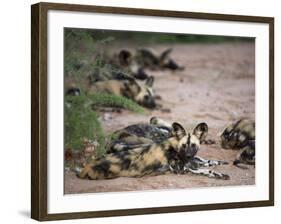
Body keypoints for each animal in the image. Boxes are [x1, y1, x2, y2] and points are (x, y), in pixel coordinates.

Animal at [76, 118, 228, 179]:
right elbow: (206, 169)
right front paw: (219, 174)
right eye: (184, 146)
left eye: (194, 145)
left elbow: (204, 161)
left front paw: (218, 163)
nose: (189, 155)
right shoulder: (184, 169)